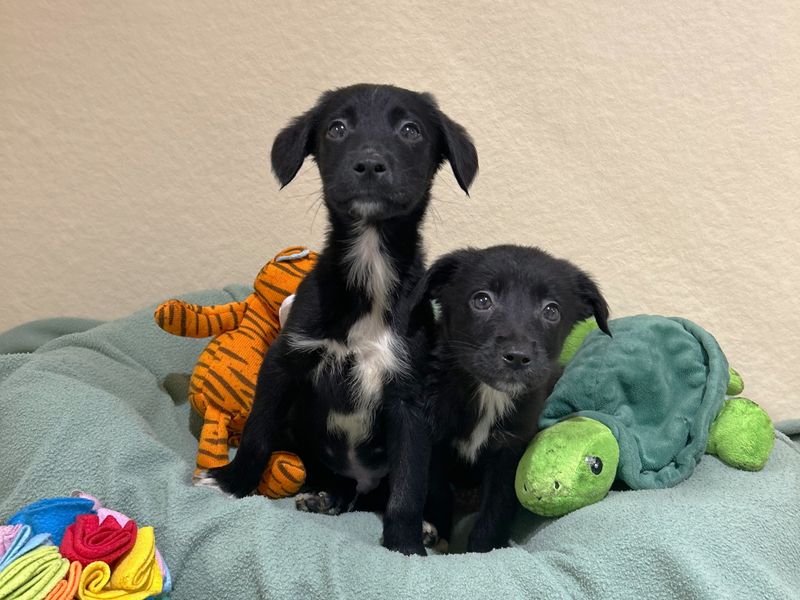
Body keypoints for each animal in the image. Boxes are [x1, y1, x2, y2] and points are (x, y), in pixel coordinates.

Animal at [203, 82, 478, 556]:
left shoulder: (408, 396)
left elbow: (408, 483)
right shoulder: (283, 360)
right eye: (337, 128)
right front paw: (232, 482)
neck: (369, 267)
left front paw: (405, 545)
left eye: (411, 130)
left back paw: (429, 528)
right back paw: (327, 496)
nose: (368, 164)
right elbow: (257, 431)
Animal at [416, 244, 608, 552]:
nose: (517, 356)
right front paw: (437, 531)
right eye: (482, 300)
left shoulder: (510, 450)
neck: (490, 395)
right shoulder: (435, 439)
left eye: (551, 310)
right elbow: (436, 490)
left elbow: (497, 506)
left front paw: (483, 548)